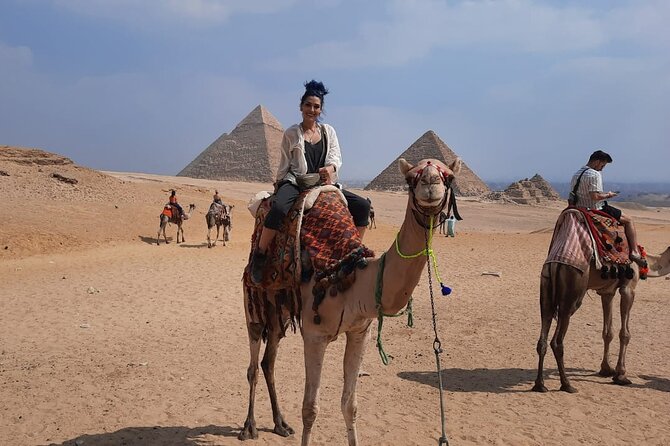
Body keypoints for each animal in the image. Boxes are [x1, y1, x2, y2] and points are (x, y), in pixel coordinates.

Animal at [239, 157, 461, 445]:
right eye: (411, 178)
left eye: (449, 176)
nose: (431, 184)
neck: (350, 274)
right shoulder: (315, 335)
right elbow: (310, 409)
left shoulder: (360, 332)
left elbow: (350, 405)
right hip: (253, 301)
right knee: (253, 364)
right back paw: (249, 427)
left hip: (281, 310)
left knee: (269, 362)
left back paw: (280, 424)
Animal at [533, 213, 670, 392]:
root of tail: (555, 263)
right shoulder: (628, 288)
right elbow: (624, 334)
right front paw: (620, 375)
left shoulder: (607, 292)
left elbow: (607, 332)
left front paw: (606, 369)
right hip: (572, 295)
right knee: (557, 340)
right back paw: (567, 384)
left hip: (546, 287)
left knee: (543, 334)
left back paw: (540, 384)